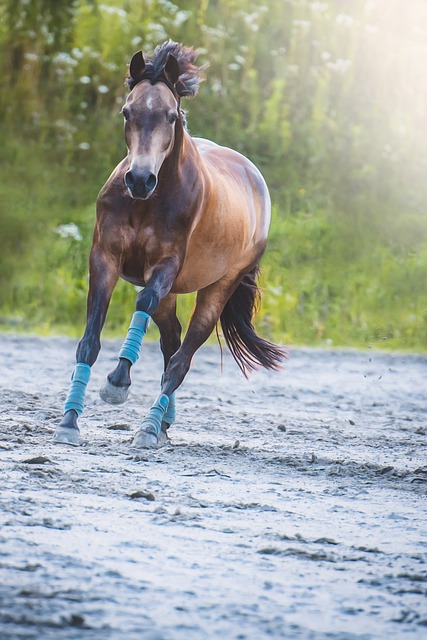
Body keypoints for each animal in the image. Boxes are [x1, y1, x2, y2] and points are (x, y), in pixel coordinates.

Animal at [54, 41, 288, 450]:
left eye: (170, 116)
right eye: (127, 112)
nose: (139, 179)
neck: (147, 202)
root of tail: (254, 178)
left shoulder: (164, 266)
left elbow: (142, 303)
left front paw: (117, 384)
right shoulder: (104, 260)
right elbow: (89, 340)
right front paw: (69, 421)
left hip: (219, 287)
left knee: (182, 357)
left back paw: (149, 427)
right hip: (172, 293)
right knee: (171, 343)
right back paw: (163, 422)